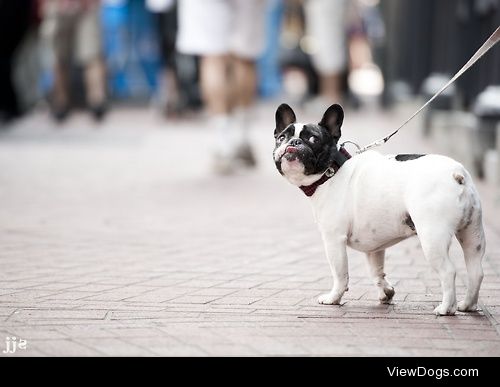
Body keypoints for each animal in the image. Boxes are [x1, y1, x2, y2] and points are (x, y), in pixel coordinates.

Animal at [274, 103, 484, 316]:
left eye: (313, 139)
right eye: (281, 138)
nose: (293, 141)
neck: (331, 172)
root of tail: (456, 173)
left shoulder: (333, 239)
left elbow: (340, 274)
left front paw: (334, 298)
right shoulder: (374, 246)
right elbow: (376, 271)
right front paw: (386, 293)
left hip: (432, 236)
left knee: (449, 271)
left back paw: (446, 308)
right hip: (472, 234)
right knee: (476, 270)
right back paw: (467, 305)